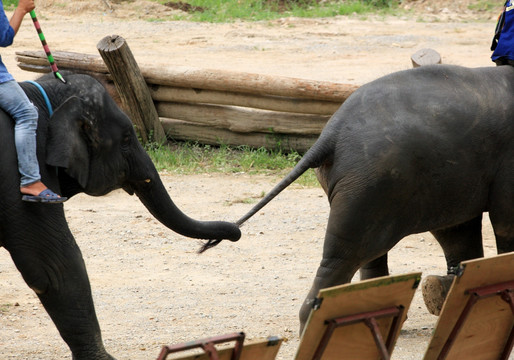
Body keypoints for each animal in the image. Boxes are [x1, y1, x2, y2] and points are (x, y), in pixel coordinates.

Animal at [234, 64, 512, 332]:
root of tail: (330, 134)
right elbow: (501, 222)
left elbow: (461, 230)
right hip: (370, 182)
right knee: (344, 255)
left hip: (381, 187)